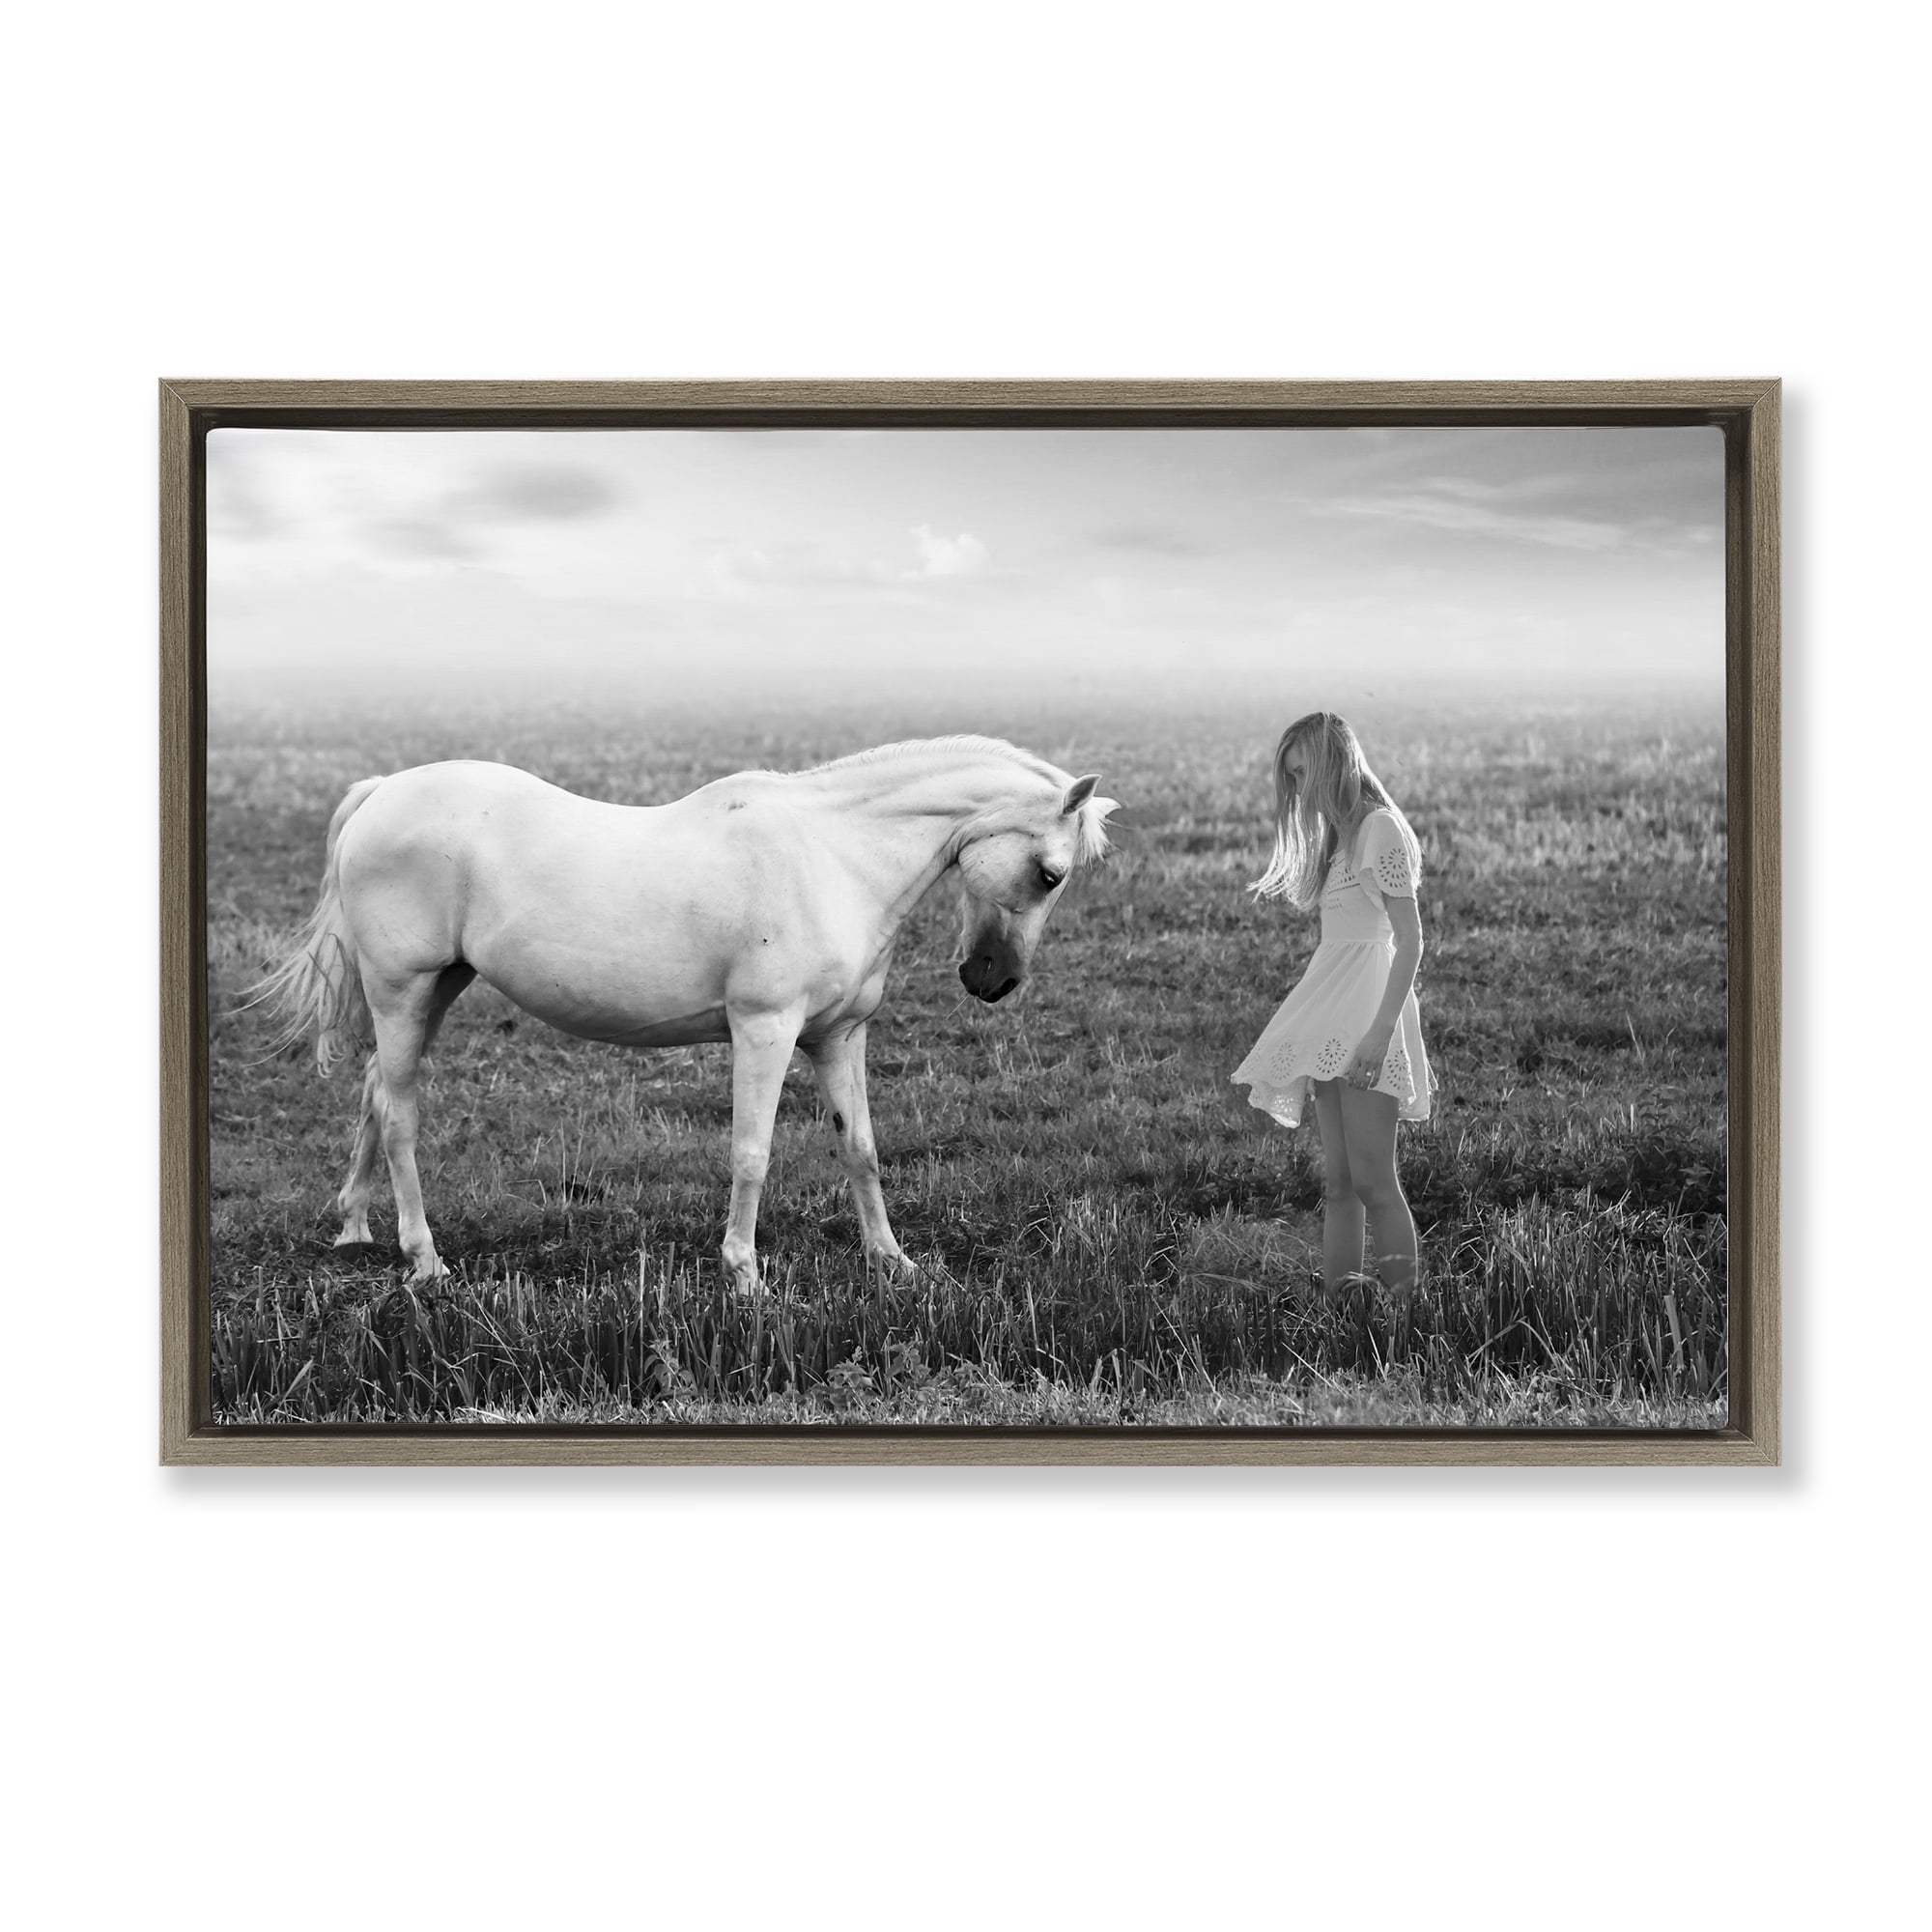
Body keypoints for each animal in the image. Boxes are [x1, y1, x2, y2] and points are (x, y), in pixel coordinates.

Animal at [255, 736, 1119, 1292]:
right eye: (1049, 874)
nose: (993, 980)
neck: (833, 856)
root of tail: (381, 792)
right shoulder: (764, 1030)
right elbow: (752, 1155)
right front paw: (745, 1276)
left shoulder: (838, 1037)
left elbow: (862, 1149)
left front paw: (892, 1262)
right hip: (402, 990)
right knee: (400, 1114)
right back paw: (424, 1259)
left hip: (438, 989)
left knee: (376, 1091)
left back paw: (355, 1228)